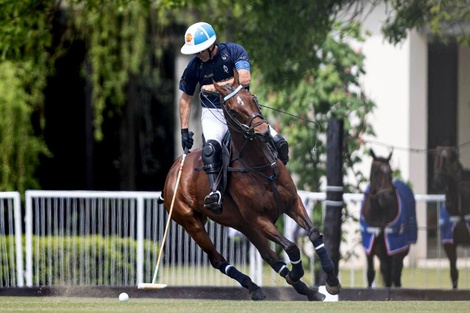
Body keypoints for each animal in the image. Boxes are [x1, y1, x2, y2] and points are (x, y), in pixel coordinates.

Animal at [160, 70, 340, 300]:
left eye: (252, 98)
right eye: (232, 110)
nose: (263, 131)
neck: (260, 167)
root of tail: (174, 169)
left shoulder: (291, 202)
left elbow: (314, 233)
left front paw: (332, 282)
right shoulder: (259, 218)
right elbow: (291, 247)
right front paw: (296, 273)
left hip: (242, 223)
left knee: (268, 255)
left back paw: (305, 291)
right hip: (191, 221)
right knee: (217, 259)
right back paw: (255, 285)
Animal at [362, 150, 416, 286]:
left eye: (391, 172)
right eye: (376, 172)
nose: (387, 197)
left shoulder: (394, 245)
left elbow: (392, 274)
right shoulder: (369, 246)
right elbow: (371, 273)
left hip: (399, 250)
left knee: (395, 274)